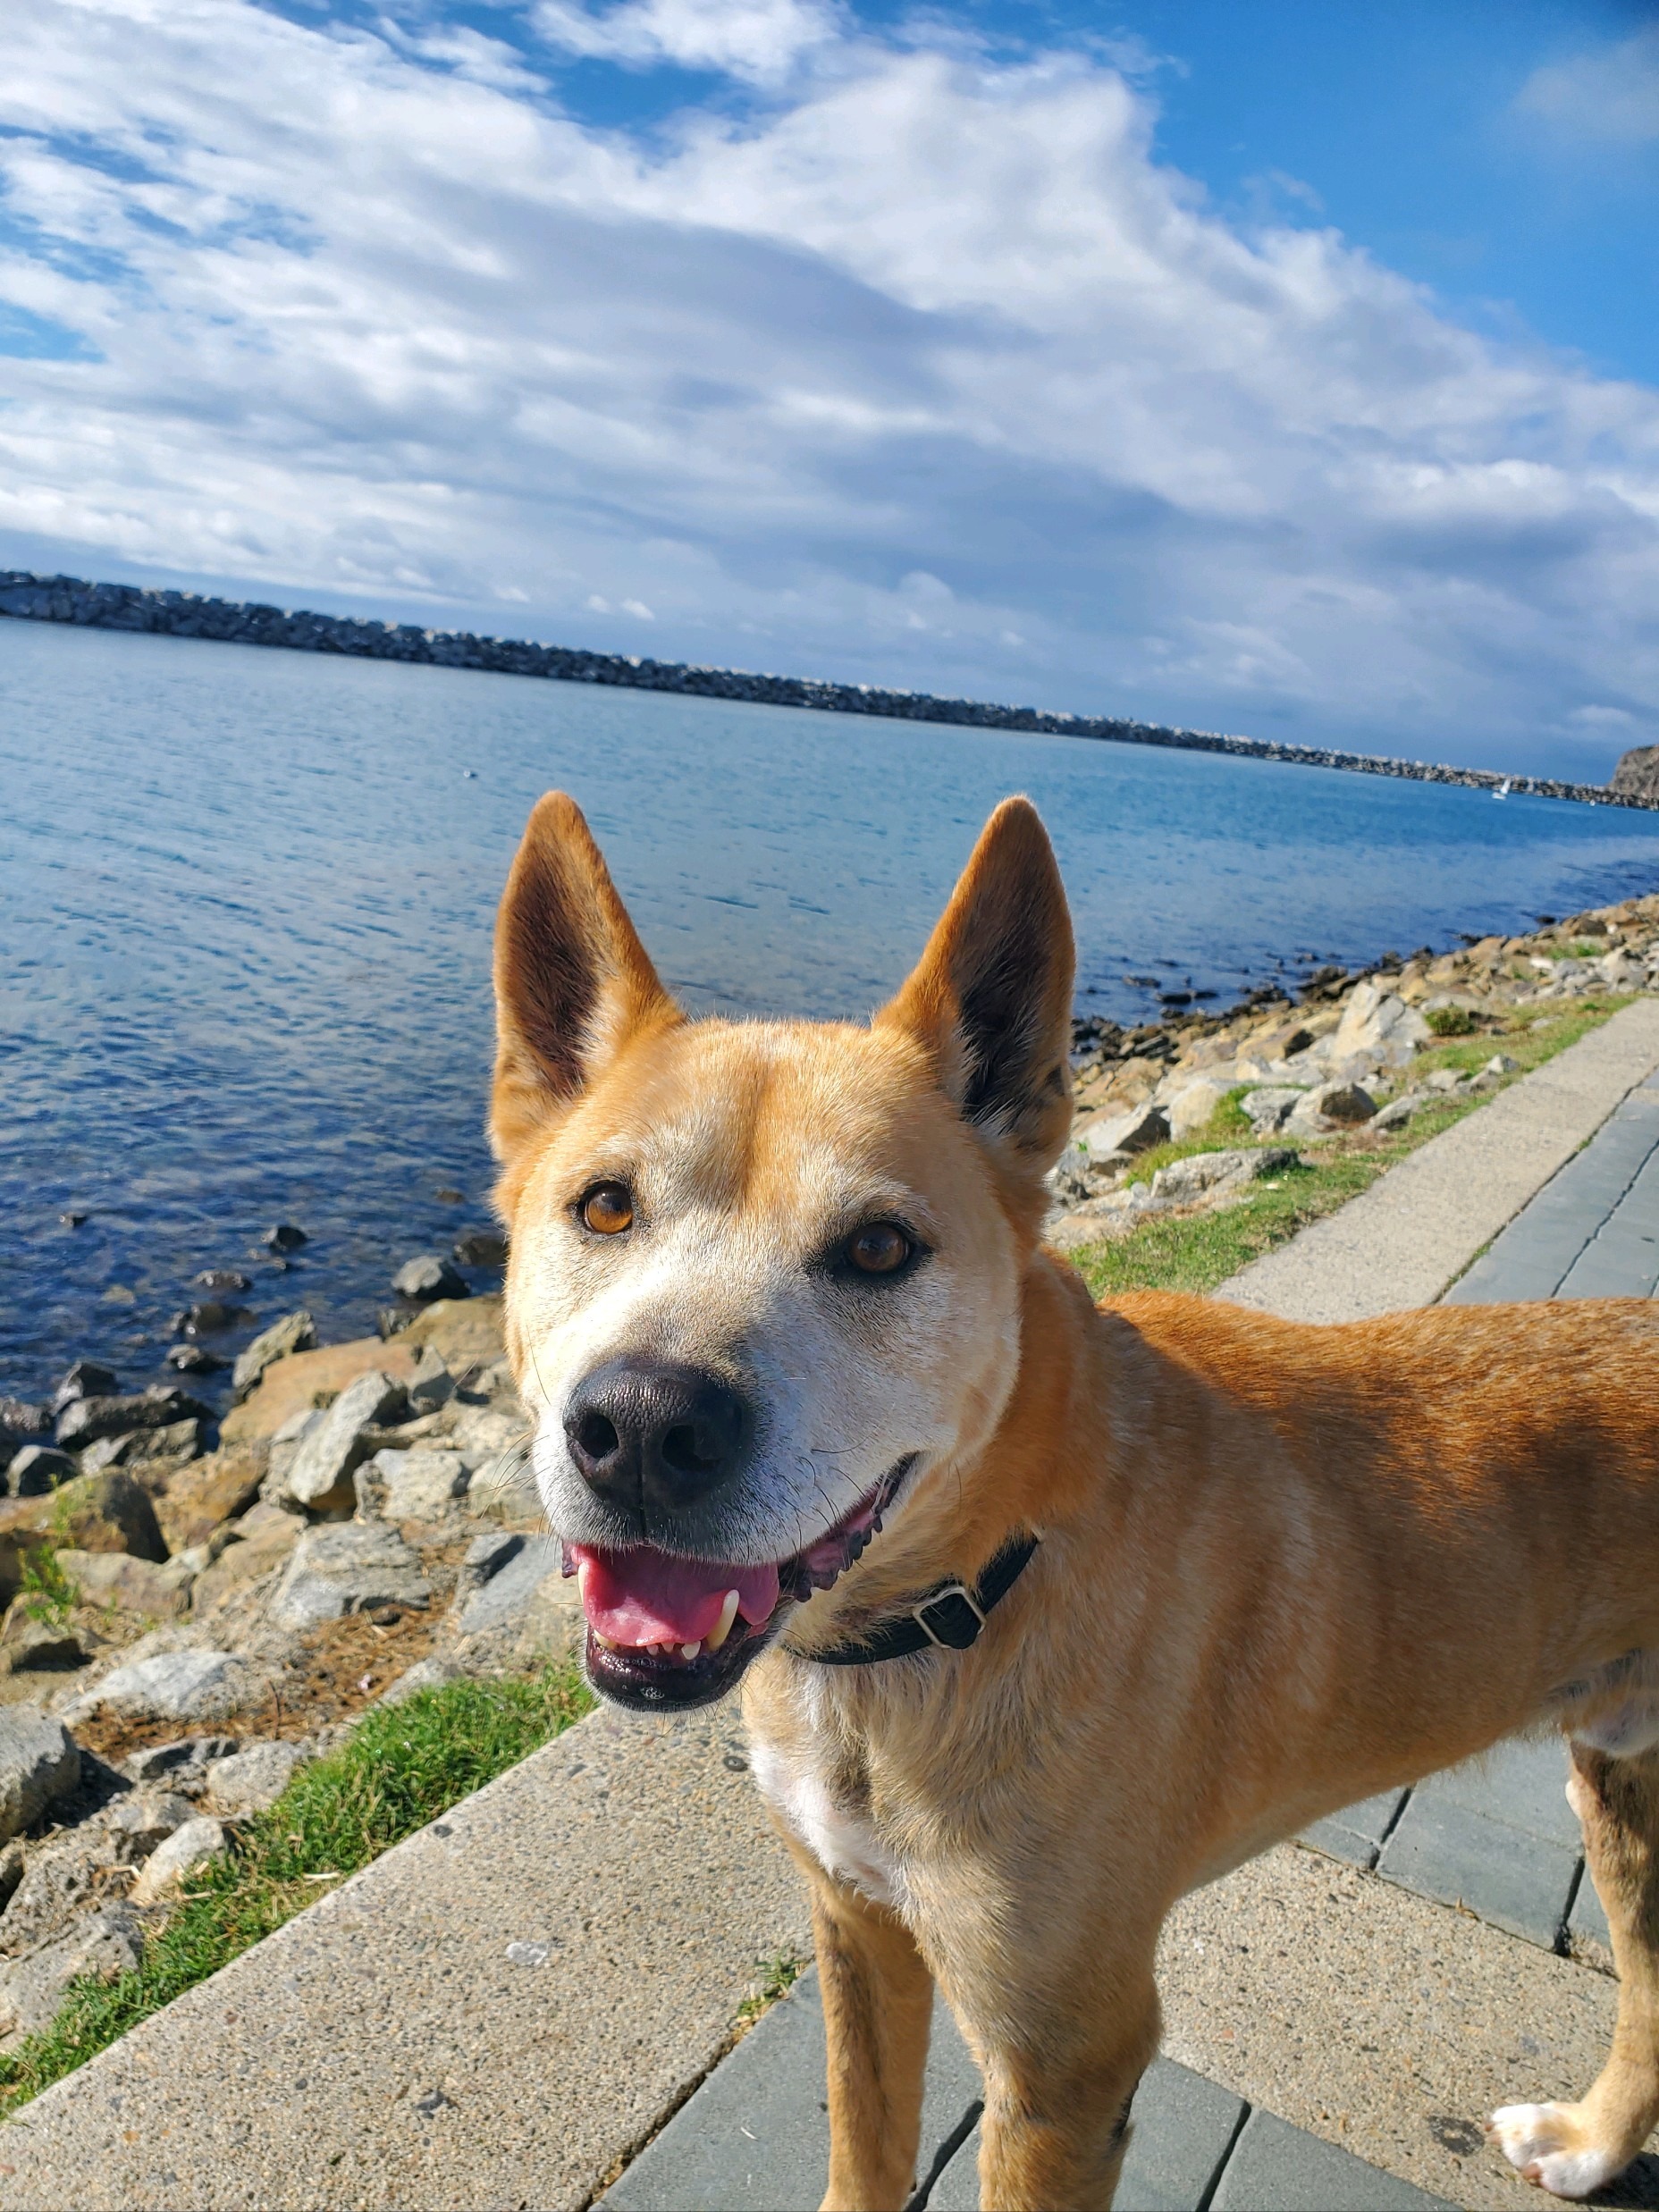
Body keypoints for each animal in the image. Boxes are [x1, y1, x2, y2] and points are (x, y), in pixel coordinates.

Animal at [484, 795, 1659, 2212]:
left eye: (878, 1247)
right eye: (604, 1206)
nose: (646, 1431)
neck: (964, 1595)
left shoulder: (1064, 2060)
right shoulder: (854, 1926)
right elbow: (862, 2149)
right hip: (1623, 1779)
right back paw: (1596, 2141)